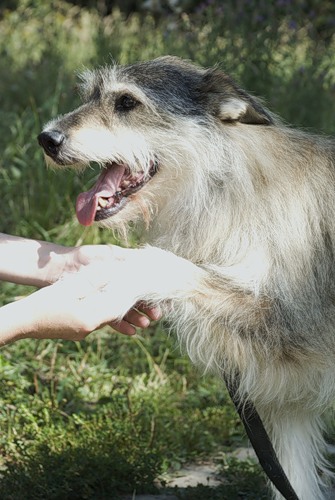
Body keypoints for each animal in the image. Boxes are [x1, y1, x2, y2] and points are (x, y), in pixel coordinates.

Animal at [38, 56, 335, 498]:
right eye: (88, 96)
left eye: (127, 102)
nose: (47, 138)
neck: (227, 191)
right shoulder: (287, 400)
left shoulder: (288, 318)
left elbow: (166, 263)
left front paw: (123, 273)